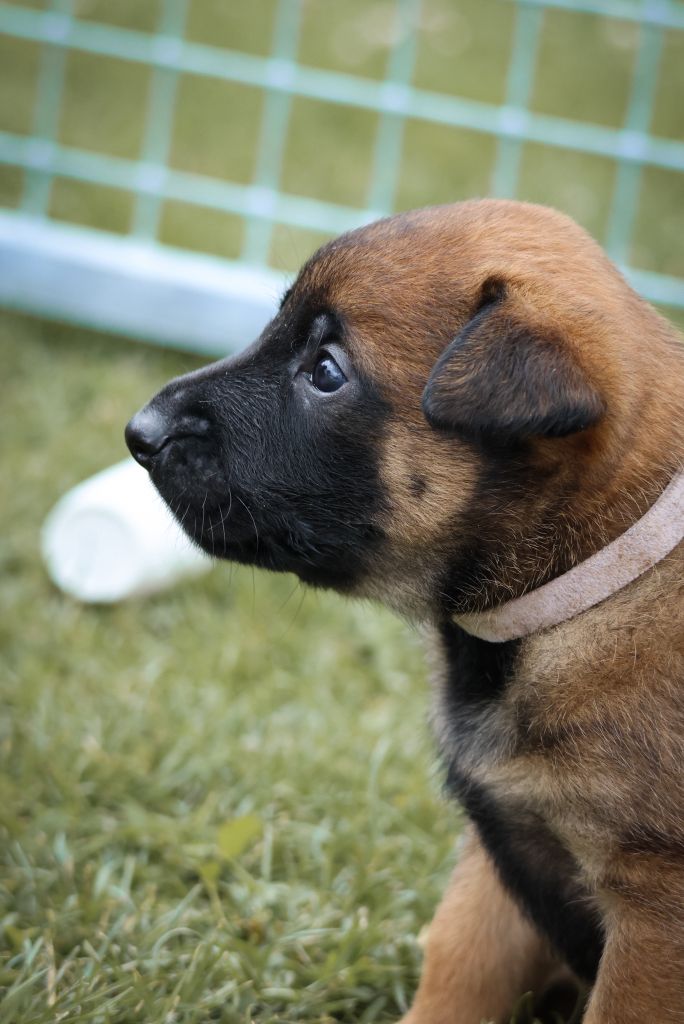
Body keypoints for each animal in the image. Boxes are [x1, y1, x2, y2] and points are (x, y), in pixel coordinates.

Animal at [126, 201, 684, 1024]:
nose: (139, 432)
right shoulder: (498, 858)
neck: (587, 578)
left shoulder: (653, 911)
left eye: (326, 372)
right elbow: (457, 965)